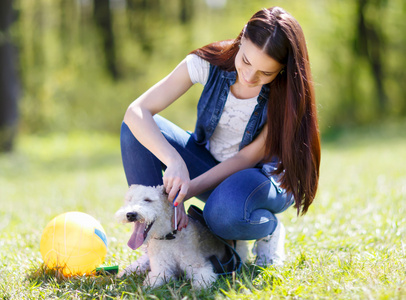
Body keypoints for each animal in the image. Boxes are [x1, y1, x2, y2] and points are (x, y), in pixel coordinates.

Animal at [114, 184, 247, 290]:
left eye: (148, 200)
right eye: (129, 200)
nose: (130, 214)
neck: (169, 237)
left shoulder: (199, 267)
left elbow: (202, 281)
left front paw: (197, 290)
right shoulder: (161, 270)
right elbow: (152, 283)